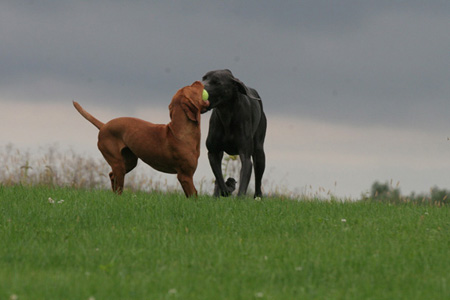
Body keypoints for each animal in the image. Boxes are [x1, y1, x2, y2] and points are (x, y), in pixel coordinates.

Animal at [73, 81, 210, 197]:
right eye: (192, 87)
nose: (198, 80)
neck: (180, 131)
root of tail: (104, 125)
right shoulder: (185, 175)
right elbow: (193, 196)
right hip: (117, 162)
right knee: (118, 185)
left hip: (129, 162)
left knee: (112, 176)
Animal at [201, 69, 268, 198]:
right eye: (203, 78)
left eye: (217, 82)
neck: (227, 115)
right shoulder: (213, 152)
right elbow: (219, 178)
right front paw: (227, 188)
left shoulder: (245, 155)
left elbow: (244, 180)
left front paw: (239, 197)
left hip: (259, 151)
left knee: (258, 178)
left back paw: (258, 197)